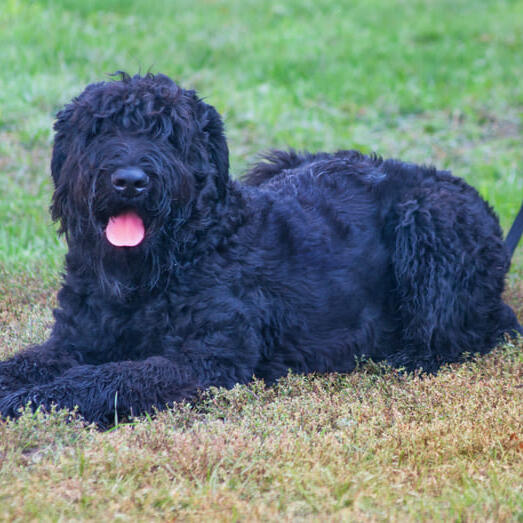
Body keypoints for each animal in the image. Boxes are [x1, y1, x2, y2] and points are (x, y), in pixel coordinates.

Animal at [0, 73, 520, 426]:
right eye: (100, 130)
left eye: (169, 134)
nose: (130, 181)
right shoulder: (74, 341)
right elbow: (32, 363)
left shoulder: (205, 361)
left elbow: (102, 378)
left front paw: (28, 401)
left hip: (428, 221)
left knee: (464, 331)